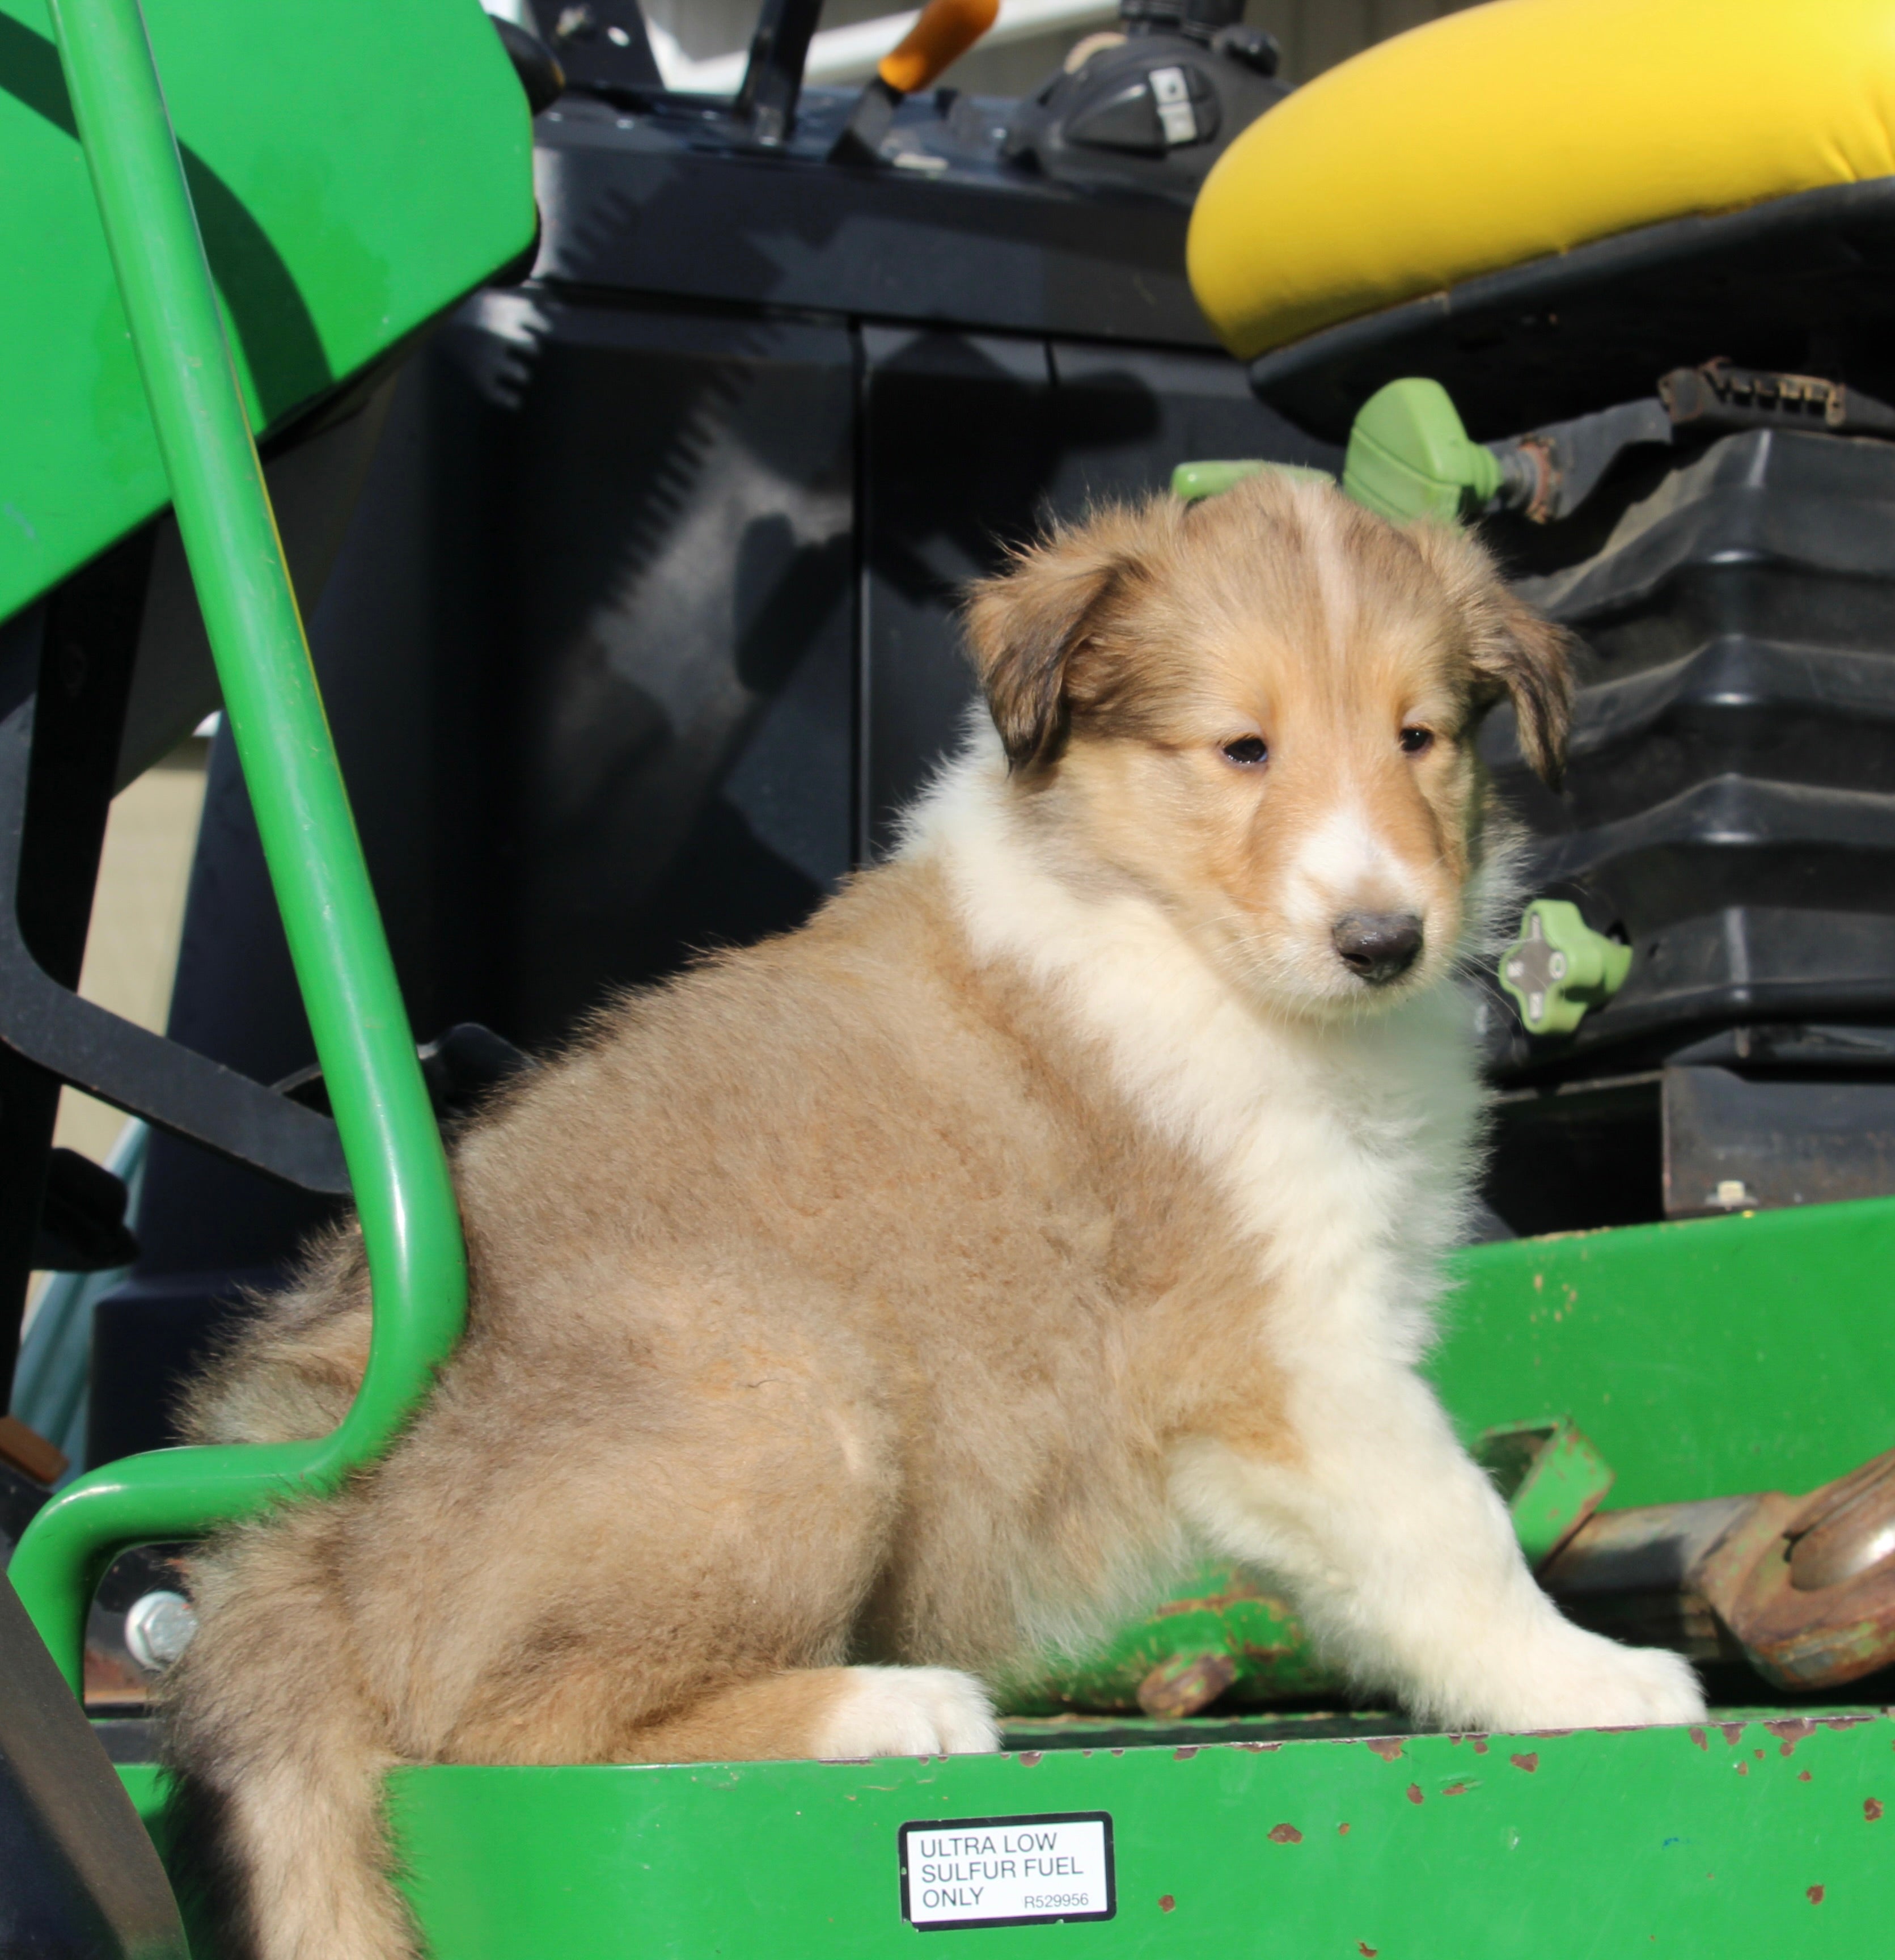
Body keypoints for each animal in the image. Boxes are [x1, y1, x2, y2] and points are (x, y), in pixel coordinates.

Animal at [162, 478, 1701, 1960]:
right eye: (1241, 749)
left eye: (1419, 736)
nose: (1383, 939)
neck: (1176, 927)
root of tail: (303, 1533)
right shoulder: (1282, 1356)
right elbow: (1449, 1526)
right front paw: (1593, 1680)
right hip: (789, 1397)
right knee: (507, 1733)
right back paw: (886, 1708)